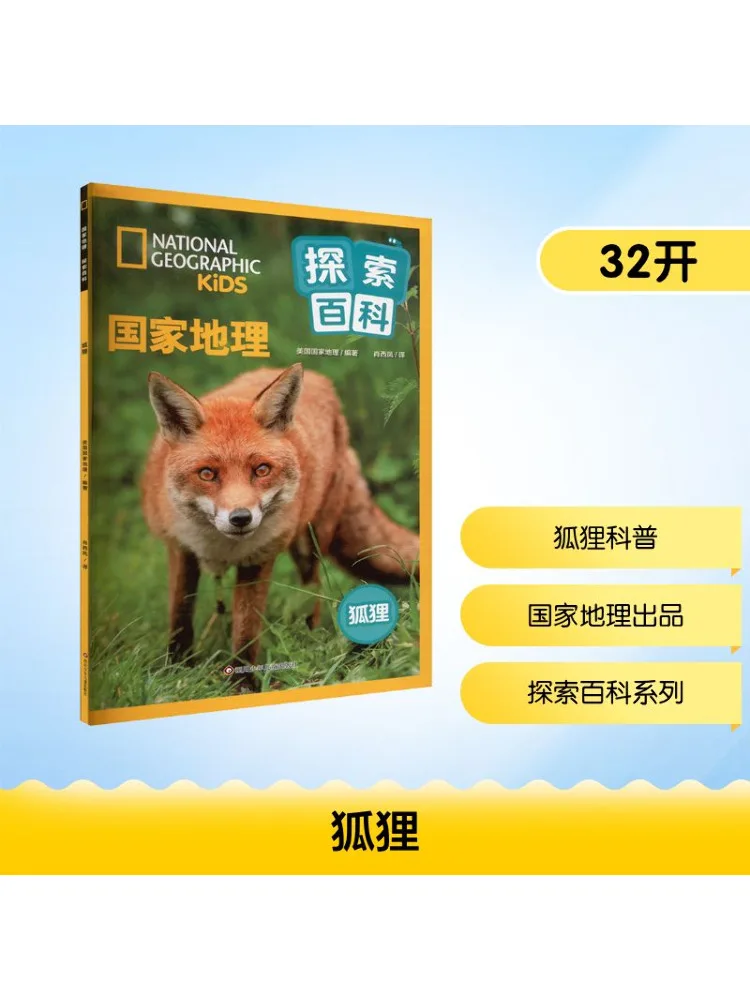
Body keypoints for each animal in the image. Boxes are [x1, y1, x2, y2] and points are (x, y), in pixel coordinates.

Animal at [141, 363, 419, 685]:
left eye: (262, 470)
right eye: (207, 474)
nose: (241, 517)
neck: (221, 547)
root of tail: (321, 379)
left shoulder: (258, 560)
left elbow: (246, 631)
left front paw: (242, 684)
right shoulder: (181, 550)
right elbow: (180, 615)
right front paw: (176, 669)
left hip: (310, 542)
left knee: (313, 589)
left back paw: (308, 640)